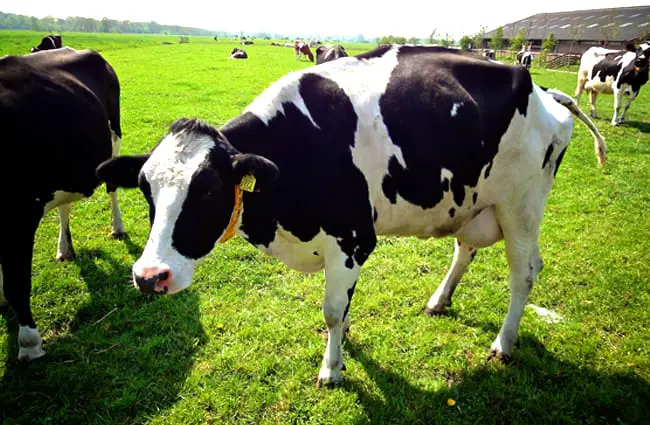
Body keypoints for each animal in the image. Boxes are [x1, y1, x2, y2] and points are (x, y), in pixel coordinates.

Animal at [95, 44, 604, 386]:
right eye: (146, 191)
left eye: (207, 191)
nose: (149, 276)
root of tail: (543, 90)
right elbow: (341, 310)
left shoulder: (353, 238)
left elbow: (332, 311)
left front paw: (332, 368)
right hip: (474, 200)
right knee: (465, 250)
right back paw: (438, 301)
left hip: (523, 204)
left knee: (525, 272)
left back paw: (503, 343)